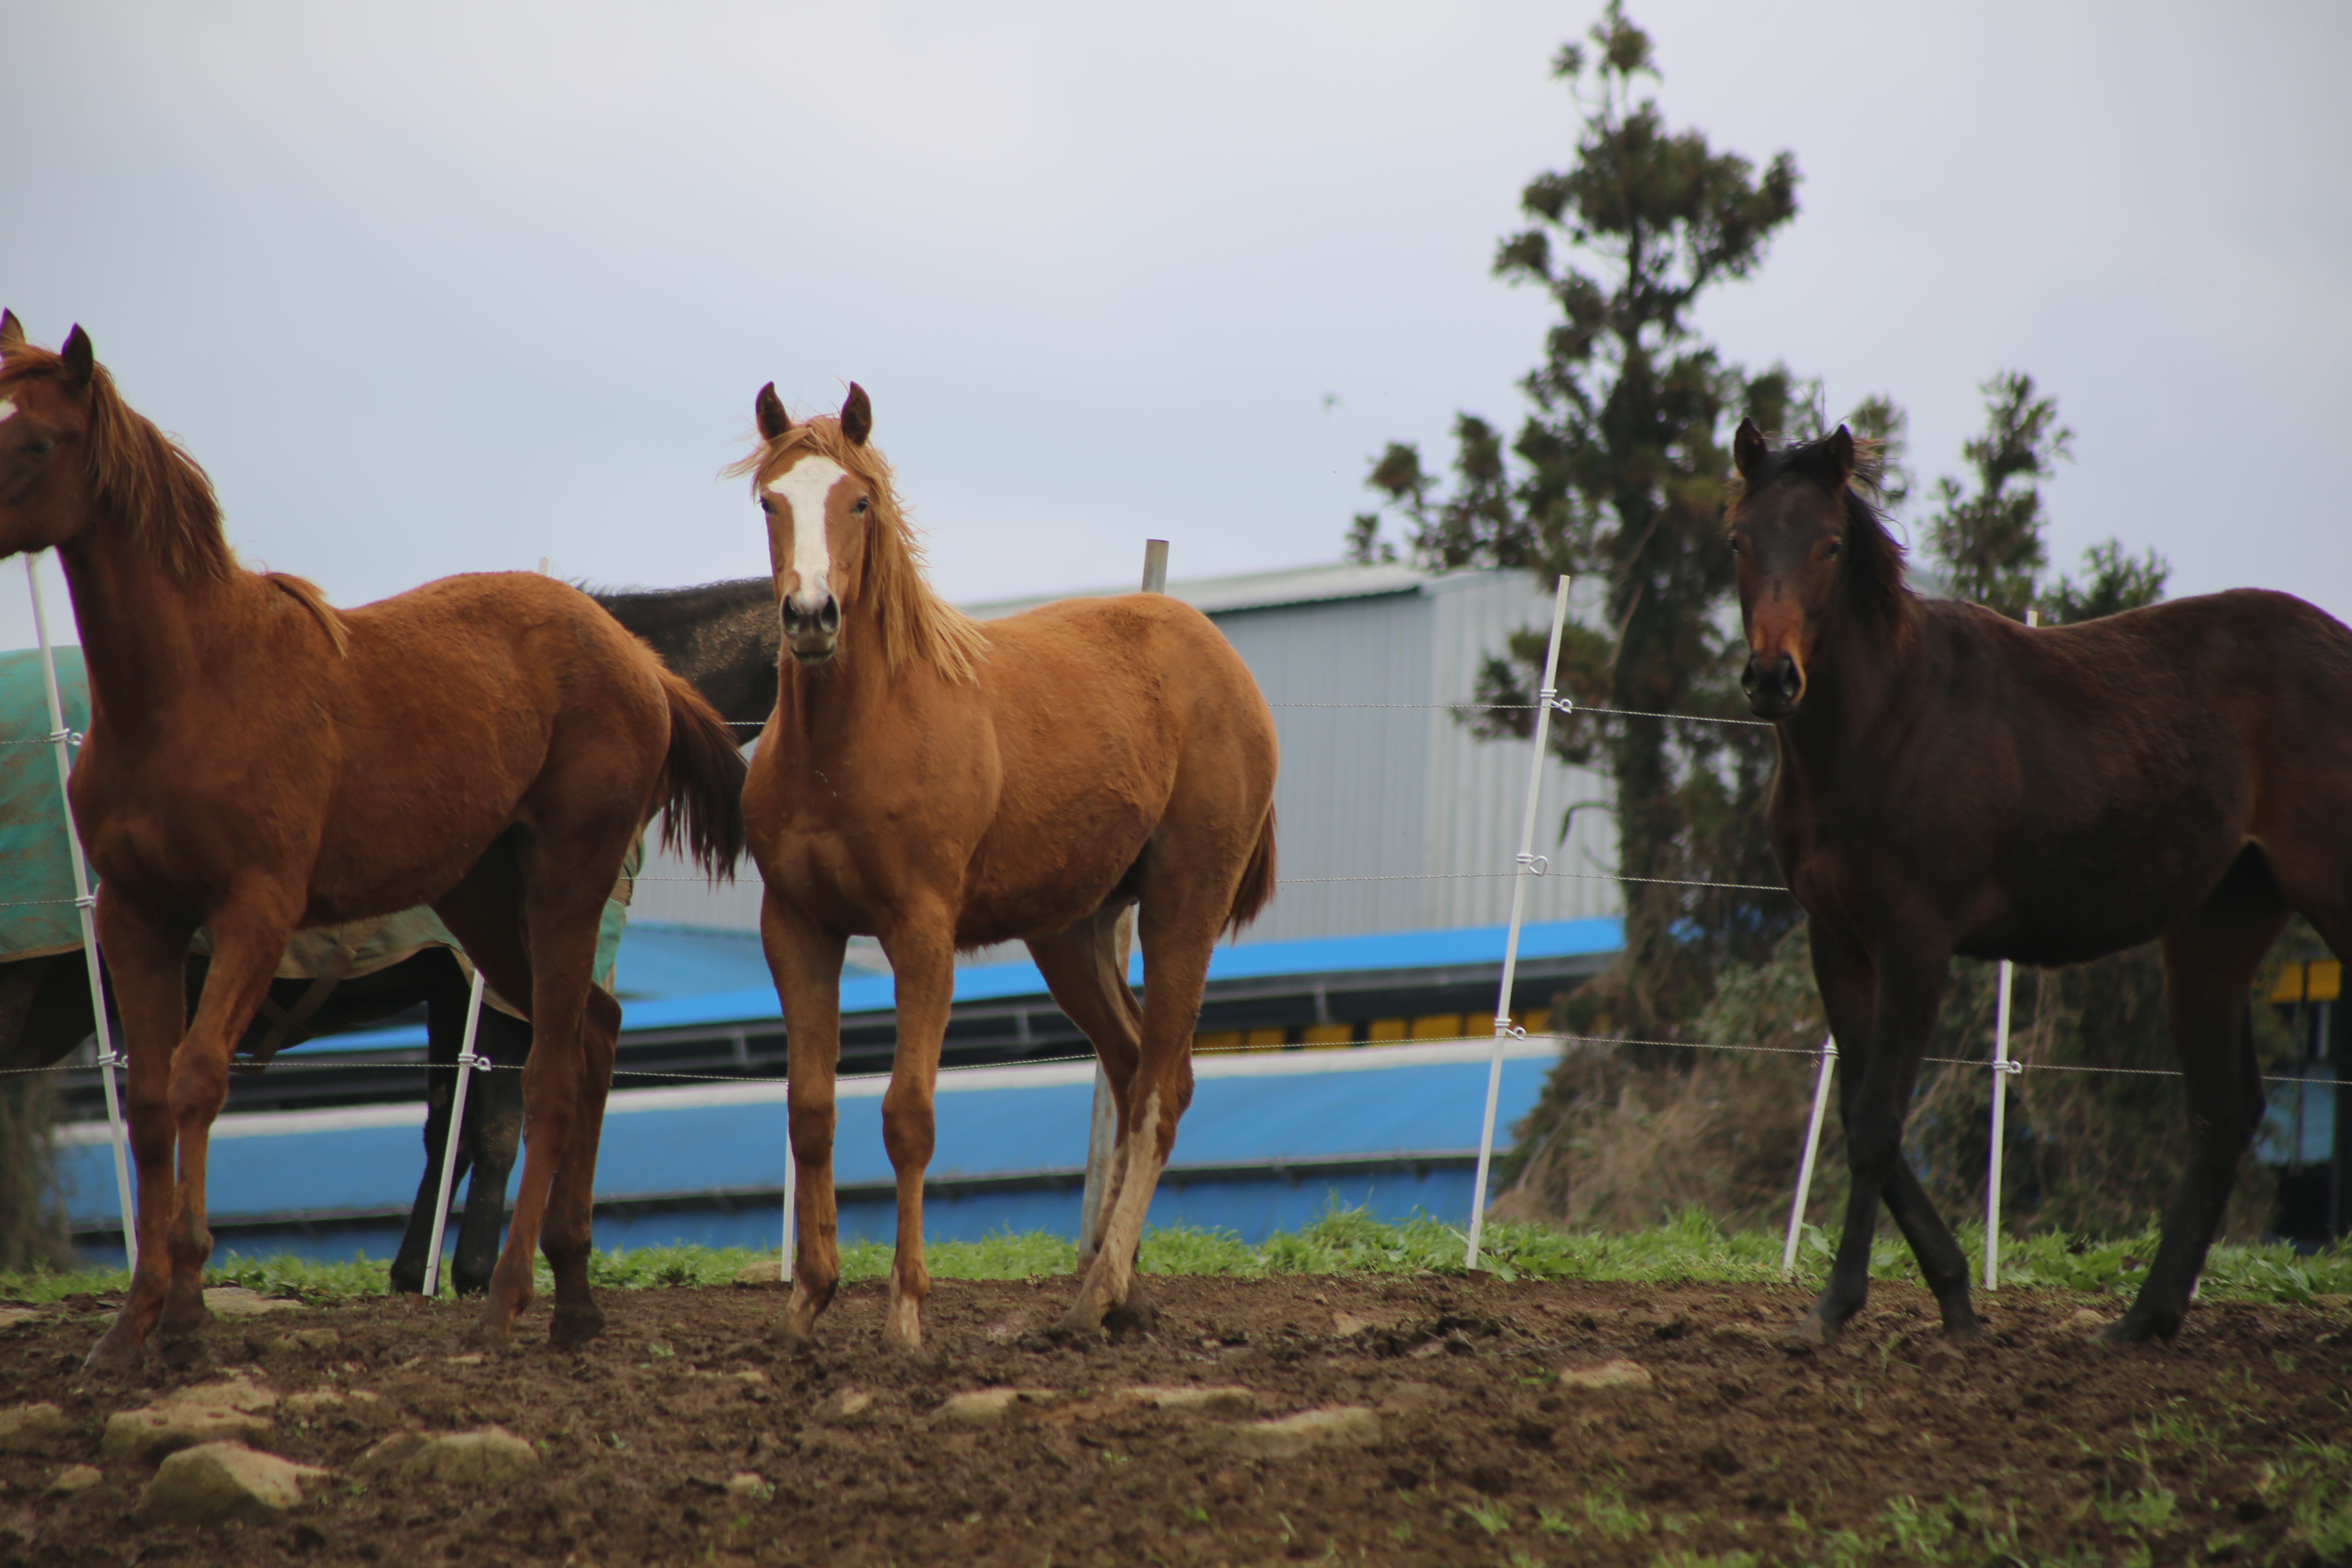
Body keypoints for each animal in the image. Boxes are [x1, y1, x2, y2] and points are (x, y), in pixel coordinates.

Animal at [0, 319, 743, 1373]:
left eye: (36, 441)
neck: (191, 688)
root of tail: (640, 660)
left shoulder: (254, 913)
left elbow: (199, 1078)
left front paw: (185, 1310)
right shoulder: (139, 918)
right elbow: (148, 1102)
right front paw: (131, 1325)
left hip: (563, 878)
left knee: (553, 1072)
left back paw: (505, 1303)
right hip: (485, 901)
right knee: (595, 1032)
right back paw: (573, 1297)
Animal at [738, 381, 1279, 1354]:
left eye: (859, 501)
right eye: (771, 501)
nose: (811, 618)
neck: (854, 740)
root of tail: (1220, 658)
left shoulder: (922, 934)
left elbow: (908, 1117)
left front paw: (906, 1314)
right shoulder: (797, 928)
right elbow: (811, 1111)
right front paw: (806, 1306)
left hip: (1185, 906)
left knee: (1163, 1088)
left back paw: (1096, 1295)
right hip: (1071, 934)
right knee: (1132, 1063)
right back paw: (1117, 1290)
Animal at [1731, 421, 2352, 1354]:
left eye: (1830, 545)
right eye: (1739, 540)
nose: (1774, 678)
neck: (1881, 727)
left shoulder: (1916, 939)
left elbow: (1877, 1123)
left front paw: (1835, 1307)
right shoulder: (1835, 938)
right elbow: (1857, 1113)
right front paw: (1955, 1295)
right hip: (2217, 924)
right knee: (2226, 1109)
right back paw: (2143, 1319)